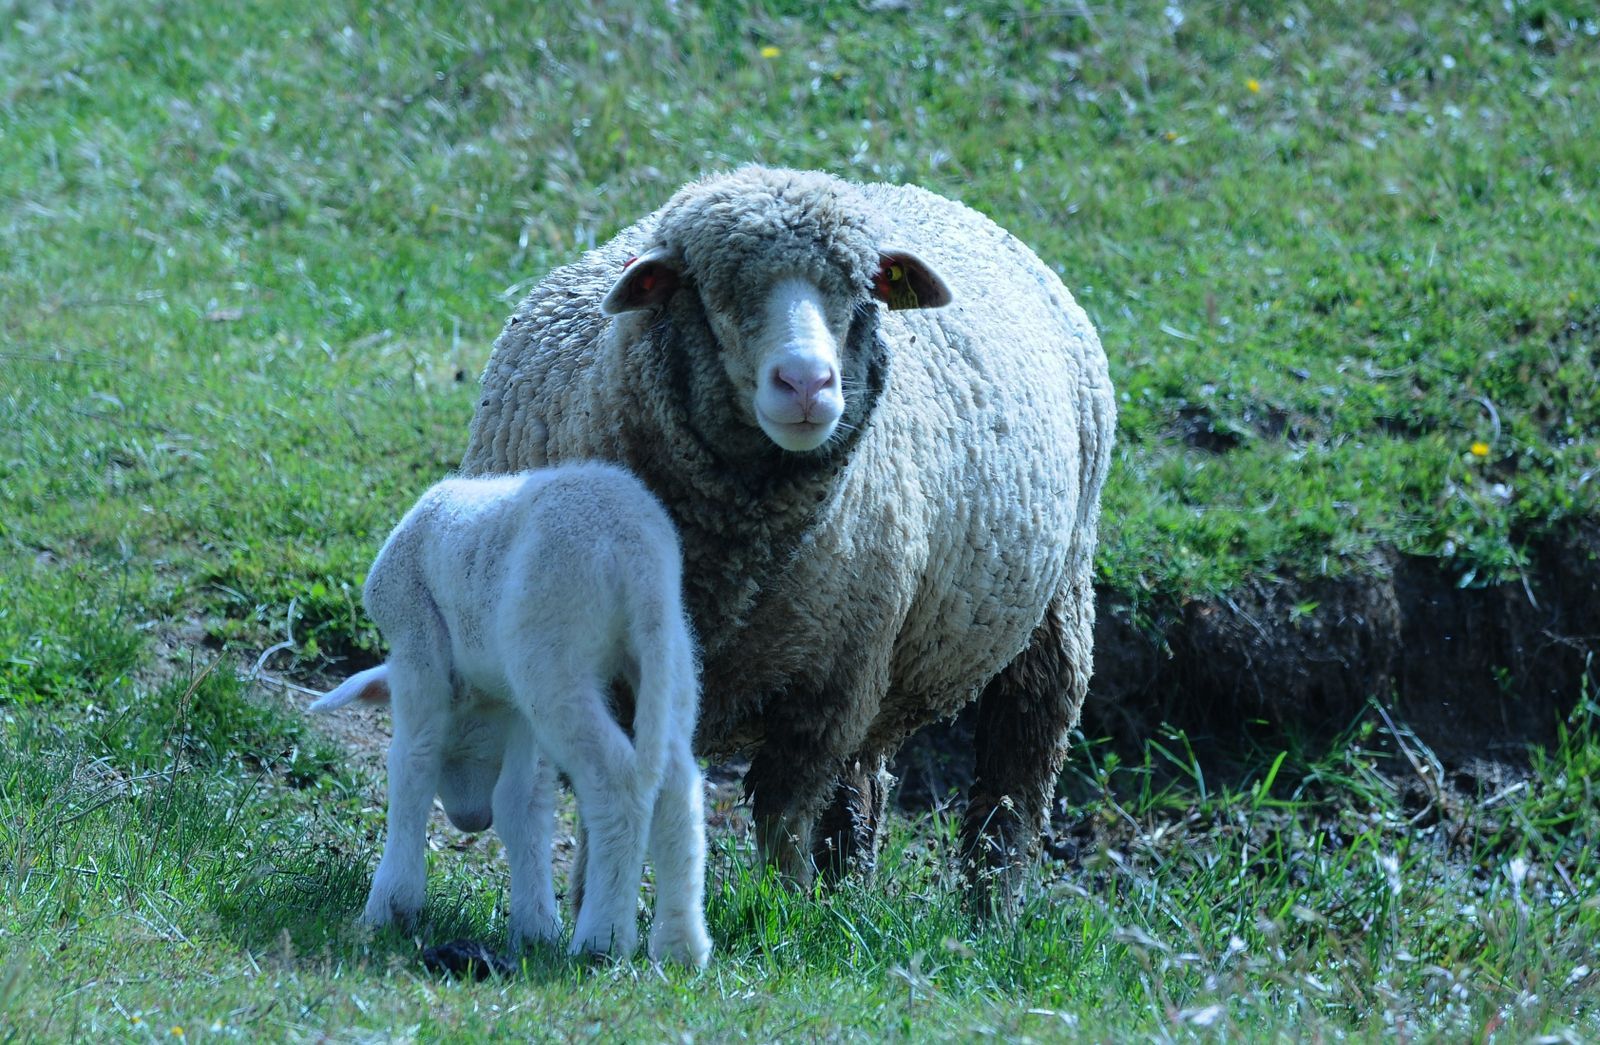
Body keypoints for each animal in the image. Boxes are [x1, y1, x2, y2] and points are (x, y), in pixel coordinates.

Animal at [310, 463, 712, 967]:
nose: (468, 821)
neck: (482, 697)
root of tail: (636, 551)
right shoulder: (518, 713)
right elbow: (521, 805)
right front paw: (534, 928)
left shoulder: (415, 644)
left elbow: (412, 766)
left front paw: (390, 905)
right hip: (666, 651)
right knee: (679, 786)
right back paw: (682, 946)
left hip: (551, 650)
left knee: (617, 782)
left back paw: (600, 941)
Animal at [462, 166, 1116, 910]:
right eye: (715, 289)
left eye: (862, 289)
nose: (807, 383)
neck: (727, 566)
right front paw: (594, 907)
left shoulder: (824, 689)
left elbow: (785, 815)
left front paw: (786, 910)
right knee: (865, 784)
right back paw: (852, 893)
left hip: (1048, 608)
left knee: (1017, 770)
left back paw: (986, 909)